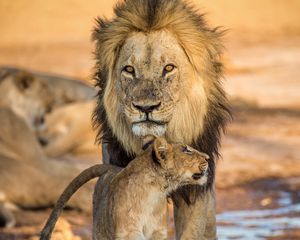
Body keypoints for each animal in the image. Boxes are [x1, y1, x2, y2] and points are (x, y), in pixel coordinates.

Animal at [39, 137, 209, 240]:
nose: (208, 157)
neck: (154, 192)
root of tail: (113, 168)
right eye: (187, 150)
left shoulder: (158, 232)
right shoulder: (129, 233)